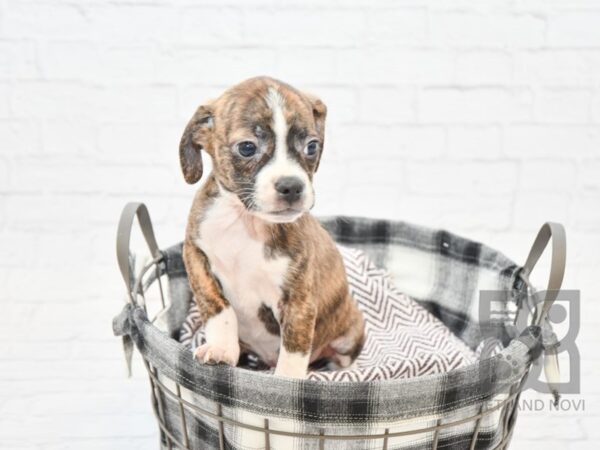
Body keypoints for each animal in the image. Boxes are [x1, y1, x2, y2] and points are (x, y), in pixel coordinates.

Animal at [180, 75, 364, 378]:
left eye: (312, 146)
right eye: (247, 147)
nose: (292, 186)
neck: (247, 222)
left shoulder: (298, 301)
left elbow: (294, 348)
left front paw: (288, 381)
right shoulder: (195, 255)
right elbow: (219, 307)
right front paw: (221, 349)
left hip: (351, 330)